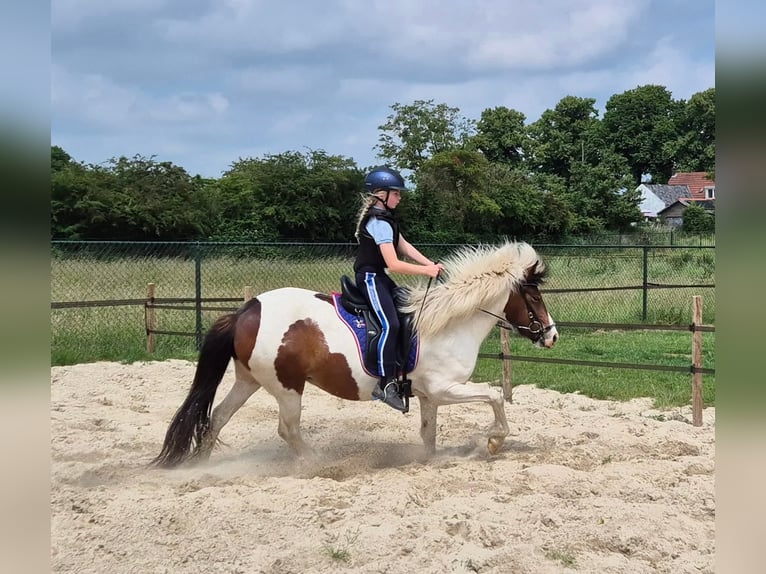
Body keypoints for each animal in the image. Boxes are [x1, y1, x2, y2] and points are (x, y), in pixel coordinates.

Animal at [151, 241, 558, 468]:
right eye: (534, 297)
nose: (552, 335)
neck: (445, 324)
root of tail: (245, 311)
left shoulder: (428, 396)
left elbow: (428, 436)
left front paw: (427, 461)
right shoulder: (443, 389)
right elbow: (494, 397)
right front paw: (493, 442)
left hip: (248, 380)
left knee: (217, 417)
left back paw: (201, 467)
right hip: (287, 387)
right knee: (287, 428)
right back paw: (316, 463)